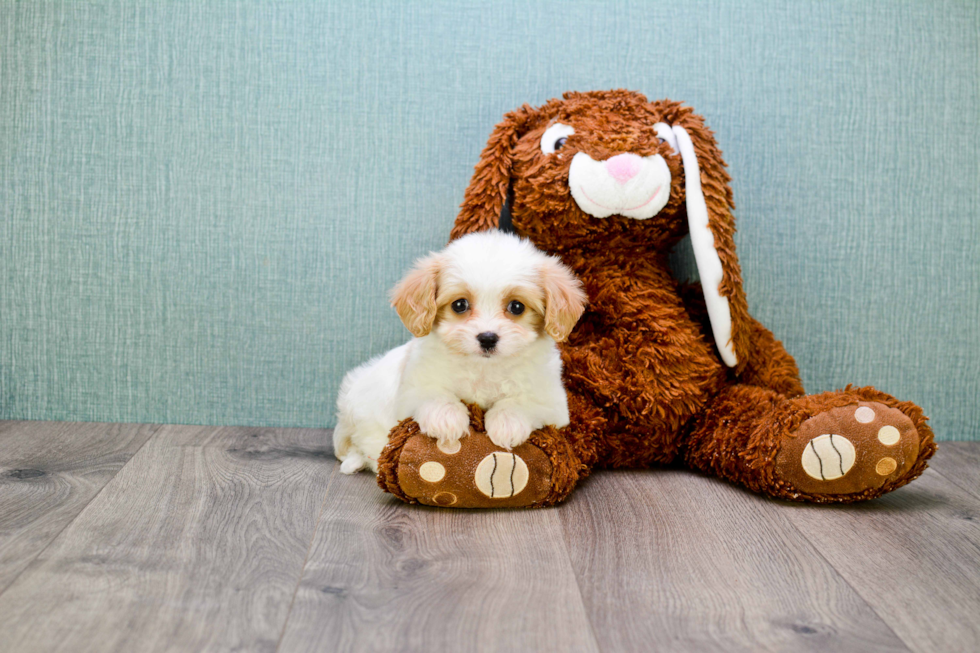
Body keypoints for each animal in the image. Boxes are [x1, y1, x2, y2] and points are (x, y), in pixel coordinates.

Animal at [334, 230, 584, 474]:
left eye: (517, 307)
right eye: (460, 305)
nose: (487, 337)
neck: (484, 367)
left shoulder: (552, 402)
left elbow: (523, 401)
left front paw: (507, 423)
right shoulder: (412, 389)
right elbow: (433, 394)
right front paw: (447, 419)